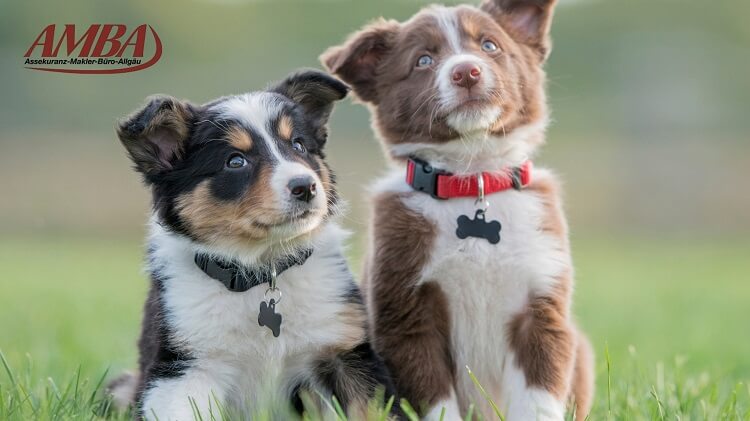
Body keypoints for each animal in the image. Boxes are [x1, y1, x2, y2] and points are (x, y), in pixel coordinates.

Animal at [324, 2, 592, 420]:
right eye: (423, 60)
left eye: (489, 45)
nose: (466, 71)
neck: (472, 178)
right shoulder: (406, 316)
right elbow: (435, 399)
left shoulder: (541, 304)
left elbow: (538, 395)